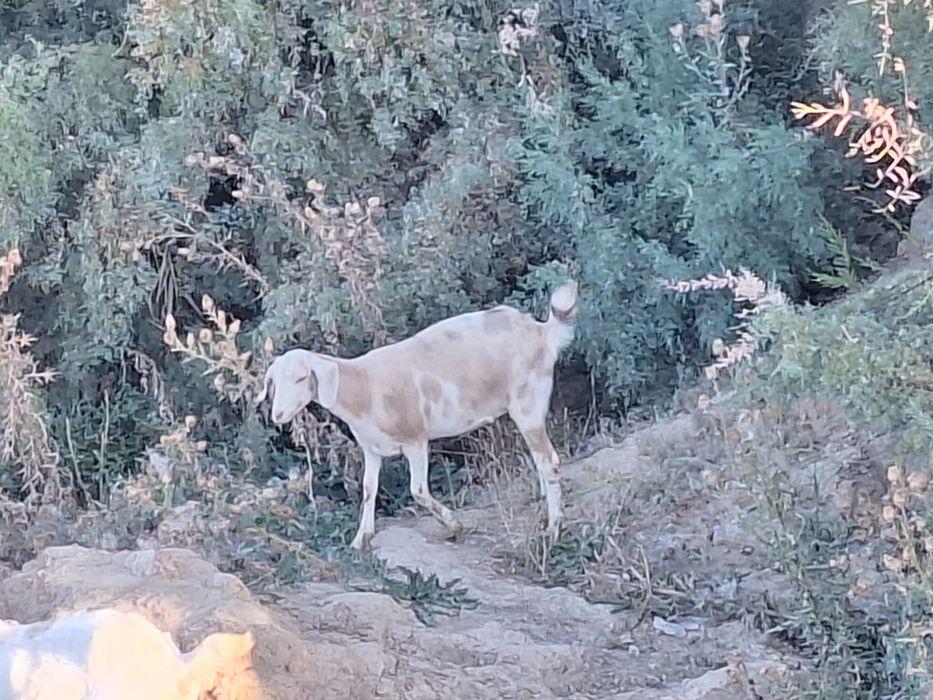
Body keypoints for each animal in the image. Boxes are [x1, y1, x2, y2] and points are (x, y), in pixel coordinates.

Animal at [256, 280, 579, 550]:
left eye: (301, 378)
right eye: (273, 382)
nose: (278, 414)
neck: (364, 387)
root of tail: (541, 332)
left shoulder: (415, 439)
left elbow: (418, 490)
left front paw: (454, 525)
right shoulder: (372, 448)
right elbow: (369, 489)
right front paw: (360, 539)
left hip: (528, 404)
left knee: (549, 461)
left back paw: (553, 529)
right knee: (541, 461)